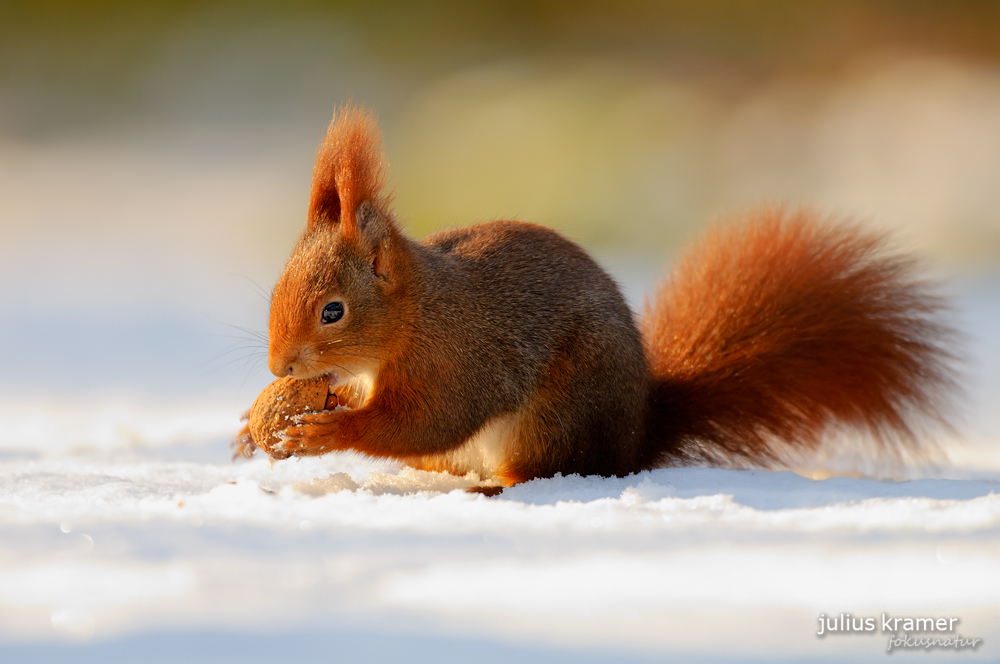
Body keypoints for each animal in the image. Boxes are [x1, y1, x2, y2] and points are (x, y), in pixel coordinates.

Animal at [232, 101, 952, 490]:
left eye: (333, 311)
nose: (277, 366)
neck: (413, 316)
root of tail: (635, 439)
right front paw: (252, 423)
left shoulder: (457, 358)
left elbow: (426, 418)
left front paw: (326, 431)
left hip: (560, 414)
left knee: (543, 469)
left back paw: (494, 488)